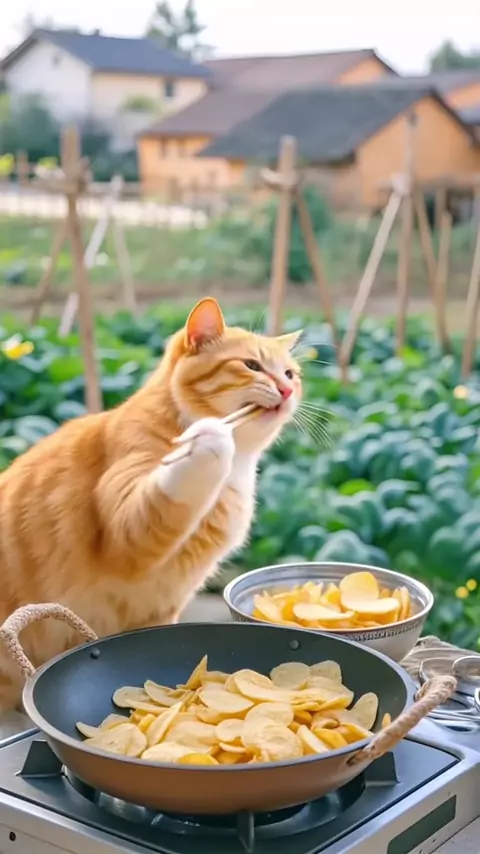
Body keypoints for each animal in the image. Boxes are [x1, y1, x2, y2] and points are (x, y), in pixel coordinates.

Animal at [0, 297, 302, 711]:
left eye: (290, 372)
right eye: (252, 365)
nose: (287, 389)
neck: (237, 468)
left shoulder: (161, 608)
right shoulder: (126, 529)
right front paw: (209, 436)